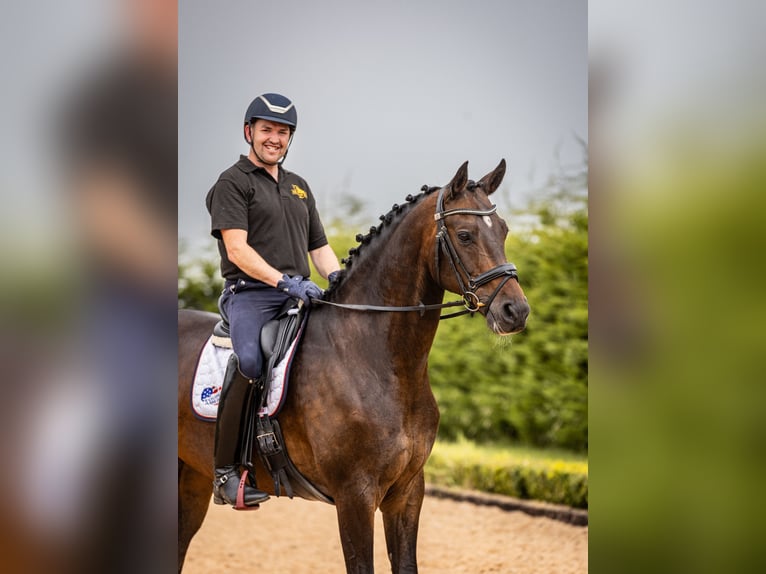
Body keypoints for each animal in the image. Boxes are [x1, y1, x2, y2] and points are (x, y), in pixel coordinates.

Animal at [178, 160, 528, 572]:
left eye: (503, 230)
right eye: (465, 235)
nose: (516, 311)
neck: (381, 363)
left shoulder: (407, 492)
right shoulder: (355, 496)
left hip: (192, 477)